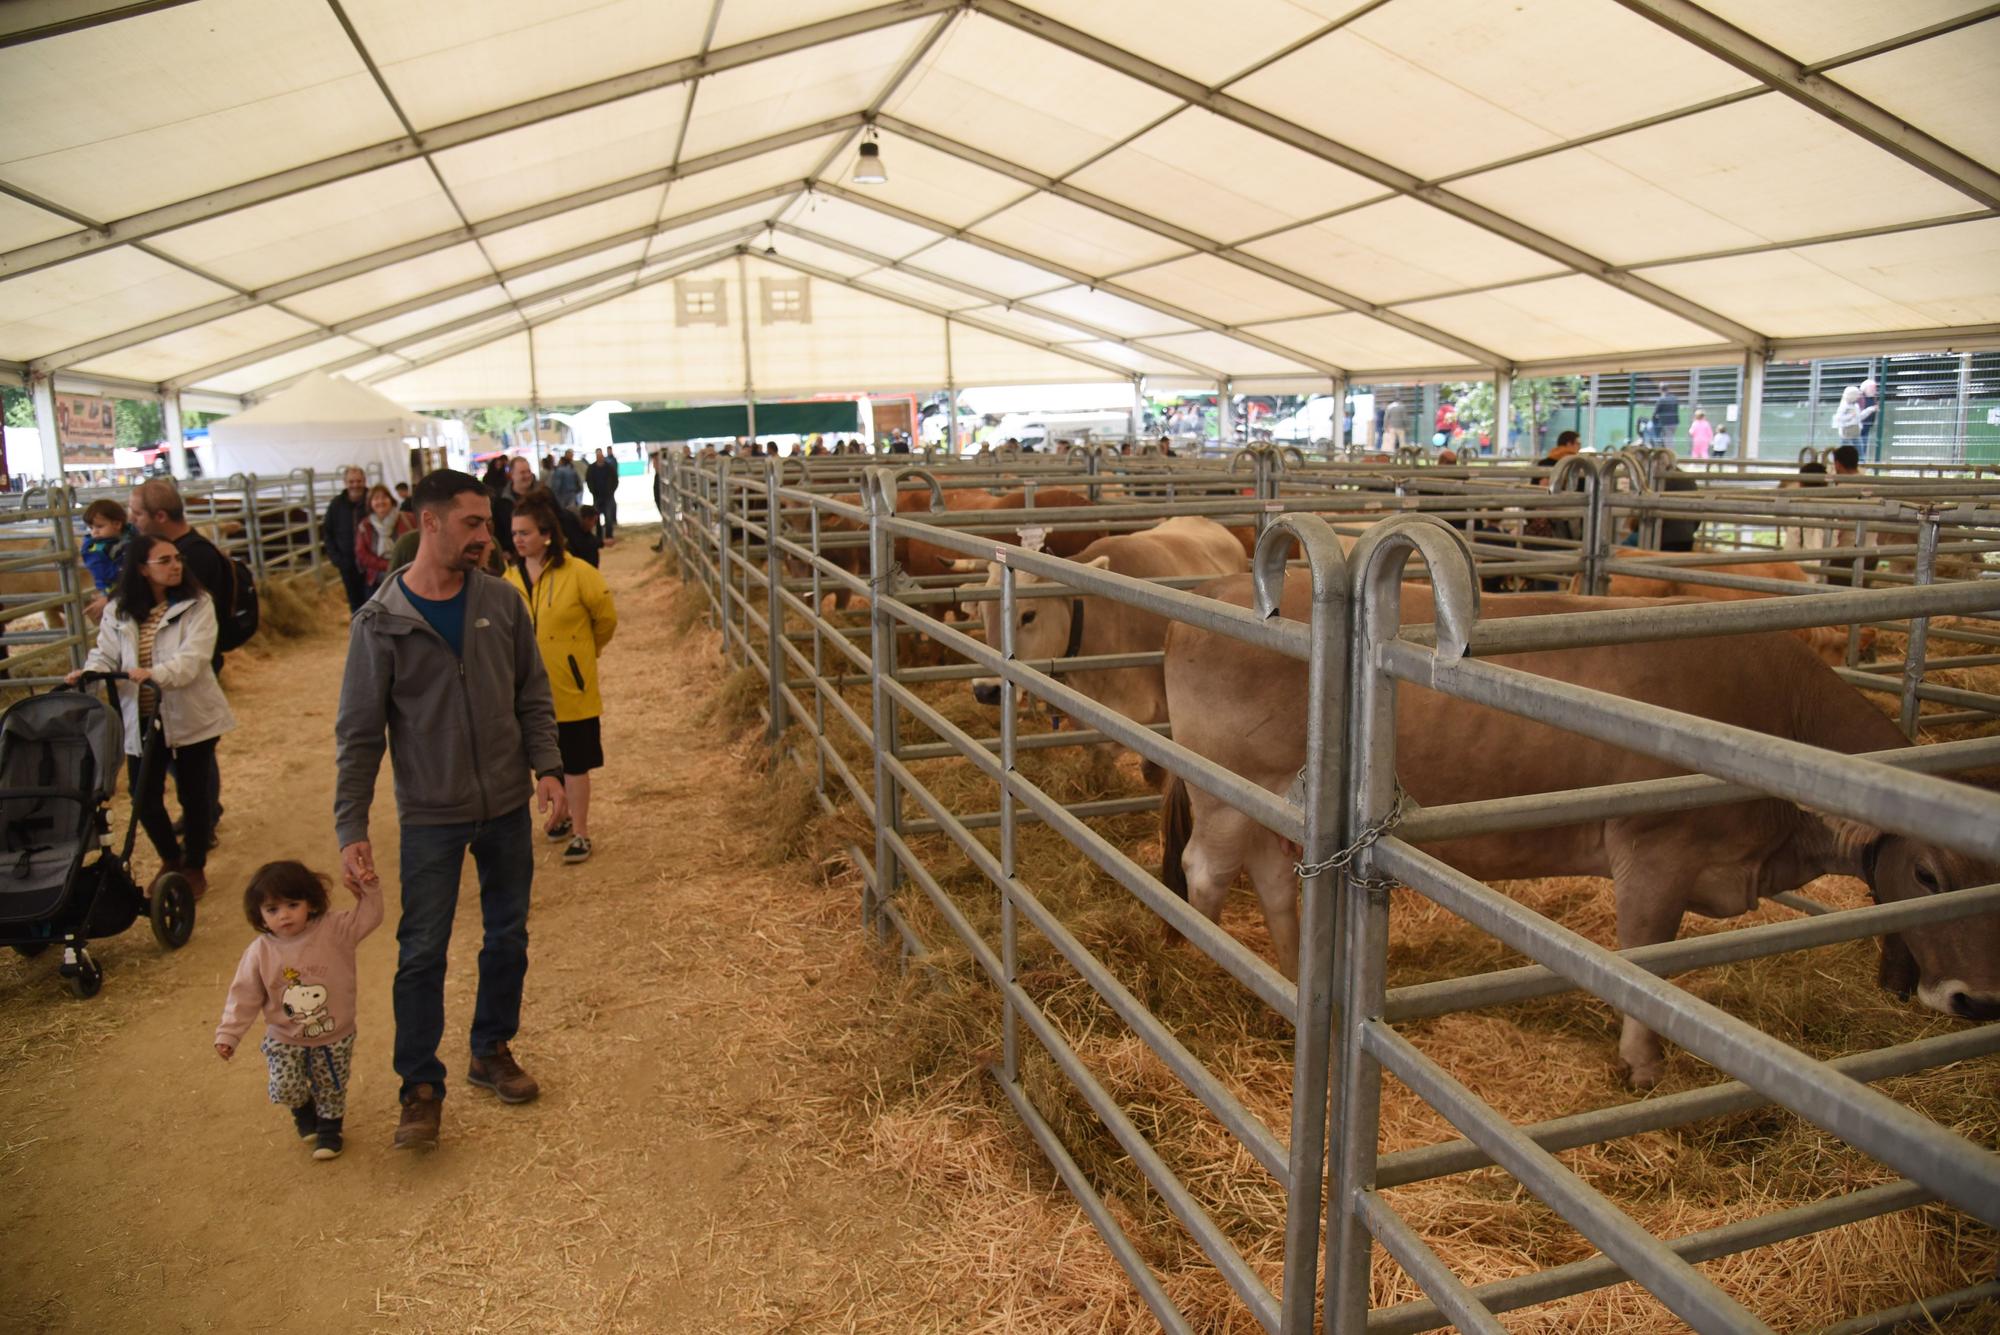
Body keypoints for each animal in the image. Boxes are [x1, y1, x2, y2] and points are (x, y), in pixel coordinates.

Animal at [1168, 575, 1992, 1087]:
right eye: (1927, 874)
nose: (1979, 1004)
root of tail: (1221, 591)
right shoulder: (1657, 853)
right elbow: (1647, 965)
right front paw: (1643, 1066)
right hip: (1224, 791)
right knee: (1205, 871)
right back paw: (1201, 971)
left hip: (1270, 805)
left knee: (1271, 879)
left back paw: (1288, 975)